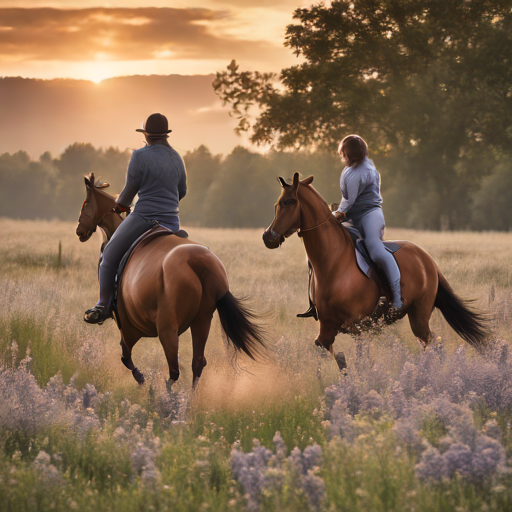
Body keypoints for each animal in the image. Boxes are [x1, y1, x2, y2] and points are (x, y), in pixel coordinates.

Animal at [79, 173, 268, 388]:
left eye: (85, 204)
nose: (79, 231)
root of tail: (199, 262)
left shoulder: (126, 326)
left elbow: (125, 357)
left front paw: (141, 378)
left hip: (167, 327)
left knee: (173, 371)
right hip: (202, 320)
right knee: (197, 363)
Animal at [262, 174, 486, 358]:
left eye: (288, 202)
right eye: (276, 204)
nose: (267, 237)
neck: (332, 263)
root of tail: (426, 258)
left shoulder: (359, 328)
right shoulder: (326, 328)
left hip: (420, 316)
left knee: (432, 343)